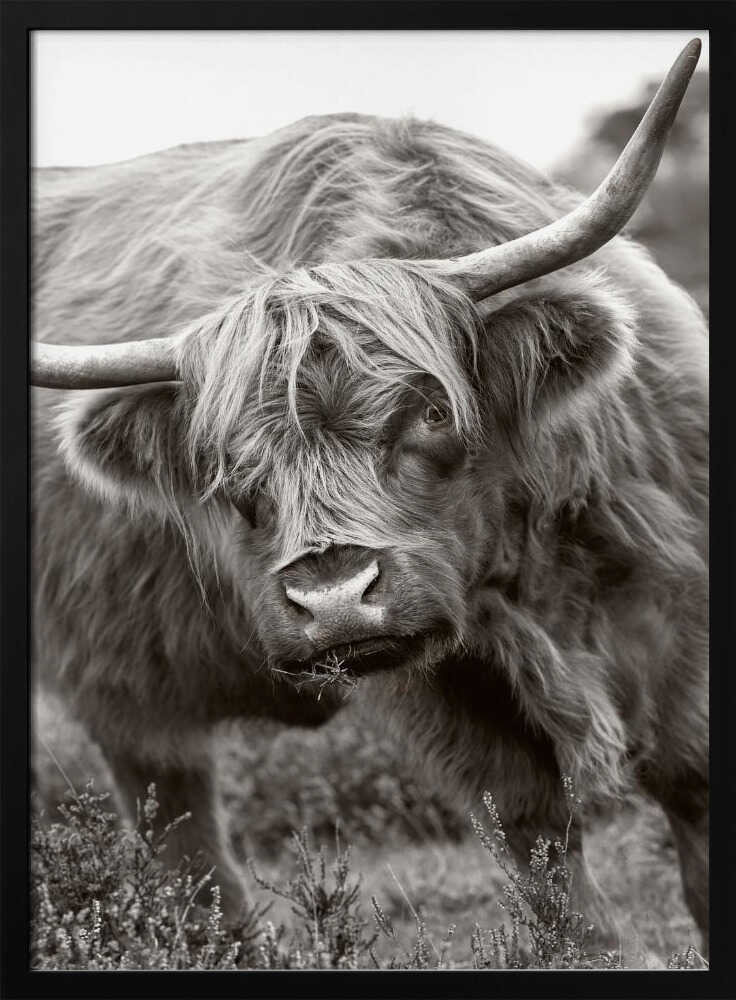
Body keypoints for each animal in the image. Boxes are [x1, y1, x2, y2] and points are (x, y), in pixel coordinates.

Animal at [32, 40, 707, 955]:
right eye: (227, 464)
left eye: (430, 411)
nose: (333, 599)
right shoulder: (448, 689)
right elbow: (537, 838)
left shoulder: (678, 599)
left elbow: (691, 783)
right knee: (180, 829)